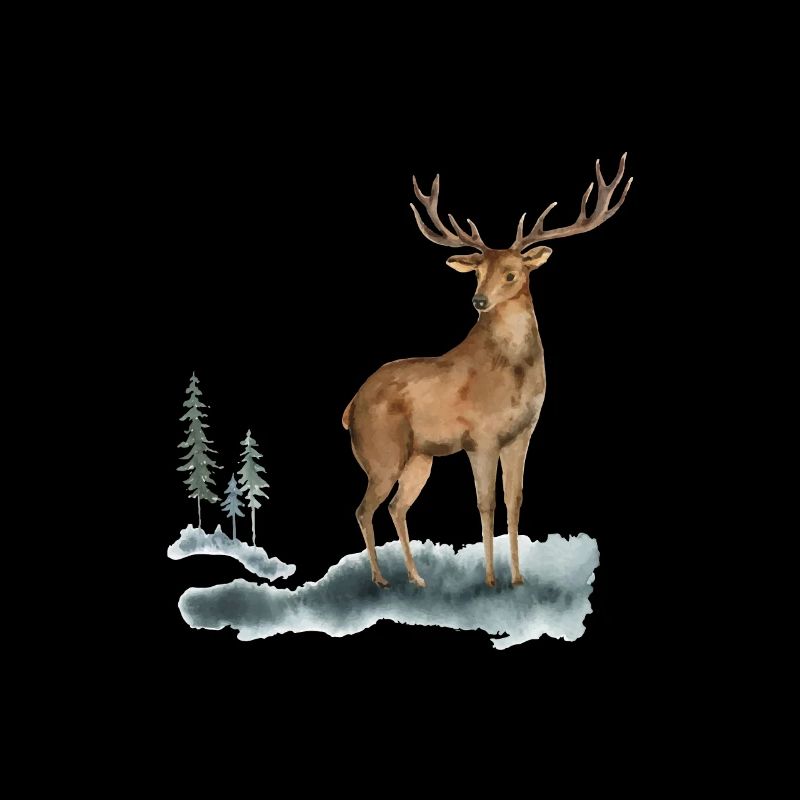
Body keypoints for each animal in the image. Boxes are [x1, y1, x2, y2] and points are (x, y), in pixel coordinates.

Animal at [342, 155, 632, 588]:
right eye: (478, 273)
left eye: (511, 273)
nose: (478, 301)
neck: (512, 379)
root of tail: (350, 408)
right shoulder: (480, 438)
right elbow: (485, 503)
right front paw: (492, 580)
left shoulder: (522, 435)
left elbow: (514, 500)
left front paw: (518, 579)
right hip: (382, 453)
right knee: (364, 508)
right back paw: (381, 579)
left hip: (420, 458)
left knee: (396, 506)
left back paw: (417, 578)